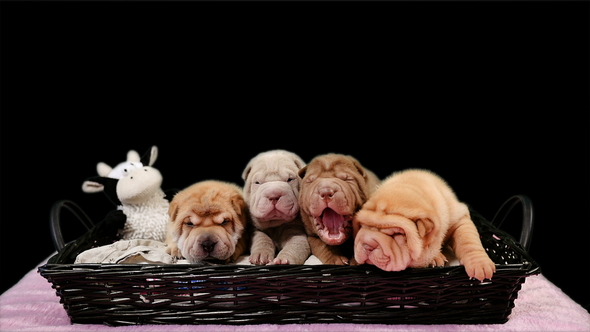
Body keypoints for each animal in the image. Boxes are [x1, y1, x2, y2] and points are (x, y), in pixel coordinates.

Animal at [354, 169, 498, 282]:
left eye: (398, 234)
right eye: (362, 226)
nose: (367, 245)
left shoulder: (459, 218)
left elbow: (468, 241)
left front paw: (480, 264)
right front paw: (435, 258)